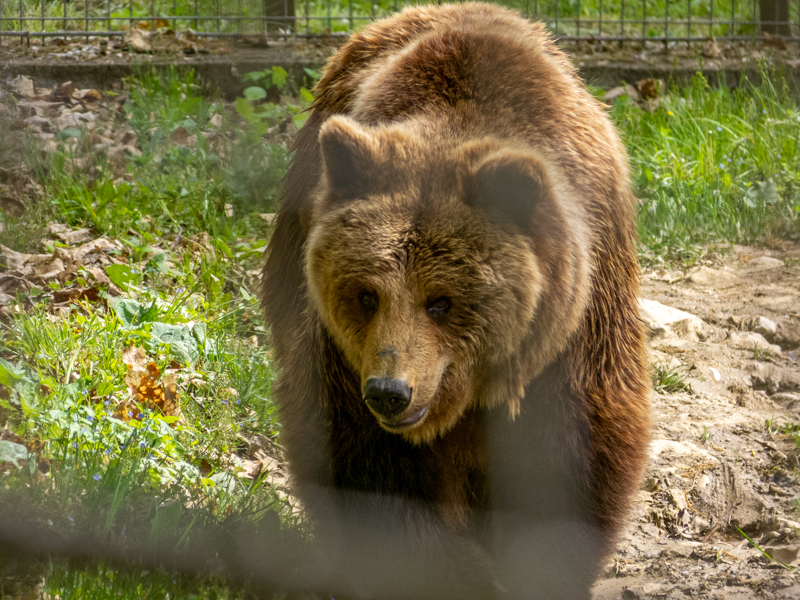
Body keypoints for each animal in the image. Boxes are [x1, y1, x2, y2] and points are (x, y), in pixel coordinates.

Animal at [261, 3, 651, 598]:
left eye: (441, 301)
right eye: (367, 295)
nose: (390, 392)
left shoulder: (573, 329)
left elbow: (570, 457)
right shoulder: (344, 360)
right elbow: (373, 474)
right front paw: (453, 575)